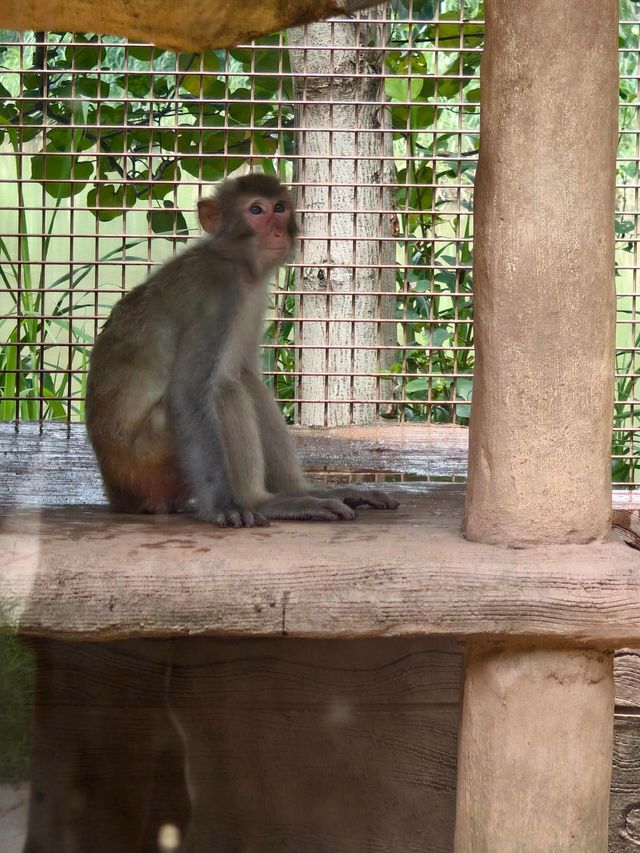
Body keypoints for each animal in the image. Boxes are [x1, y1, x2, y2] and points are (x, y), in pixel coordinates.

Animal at [84, 173, 396, 524]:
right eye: (256, 210)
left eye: (279, 207)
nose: (277, 231)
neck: (234, 260)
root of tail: (118, 493)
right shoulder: (218, 295)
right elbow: (189, 392)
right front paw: (225, 507)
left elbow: (246, 372)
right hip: (150, 462)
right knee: (224, 389)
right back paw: (262, 501)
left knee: (243, 381)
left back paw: (301, 492)